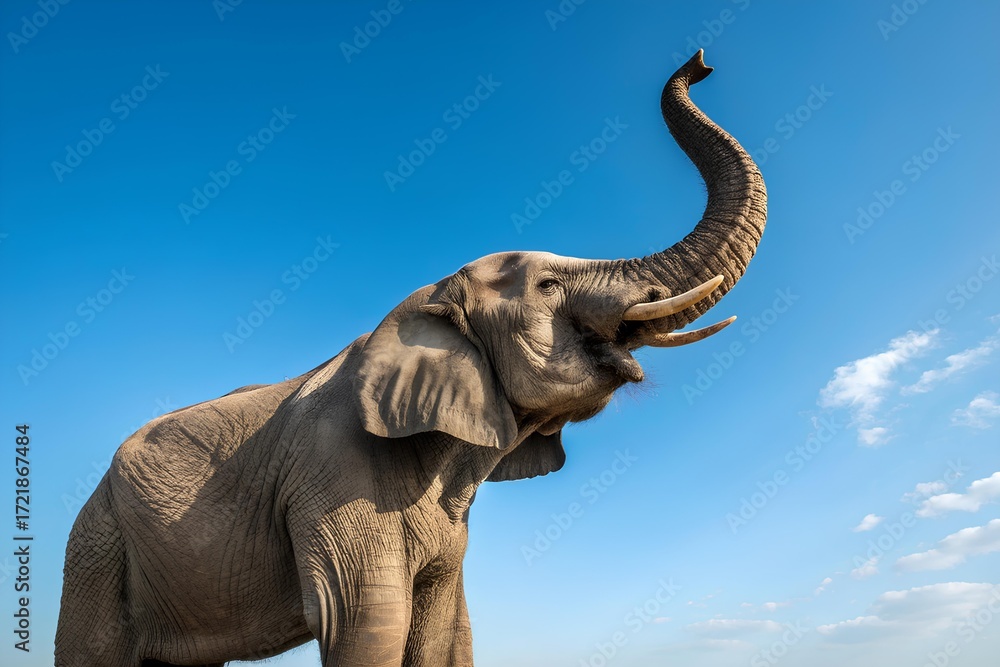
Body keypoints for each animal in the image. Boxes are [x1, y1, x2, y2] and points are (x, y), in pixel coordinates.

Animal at [55, 50, 766, 667]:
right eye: (546, 286)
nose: (701, 61)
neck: (421, 304)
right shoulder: (333, 473)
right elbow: (367, 623)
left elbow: (444, 631)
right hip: (97, 547)